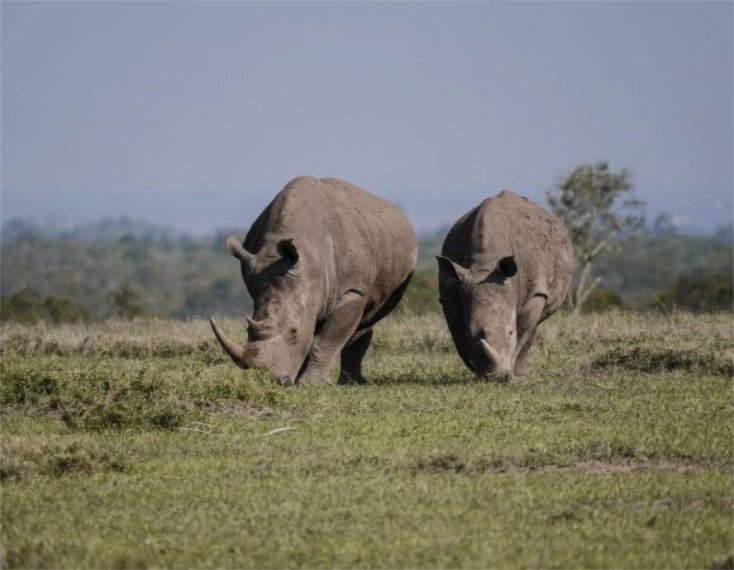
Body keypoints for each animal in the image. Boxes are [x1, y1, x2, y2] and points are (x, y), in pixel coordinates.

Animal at [210, 176, 417, 386]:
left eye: (293, 331)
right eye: (247, 331)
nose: (276, 380)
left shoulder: (352, 290)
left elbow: (326, 339)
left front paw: (312, 384)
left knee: (366, 319)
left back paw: (352, 382)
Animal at [437, 190, 573, 381]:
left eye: (510, 332)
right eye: (470, 333)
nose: (495, 378)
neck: (485, 264)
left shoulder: (535, 292)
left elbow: (522, 331)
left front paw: (511, 374)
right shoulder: (451, 294)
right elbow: (458, 333)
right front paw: (474, 368)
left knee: (534, 325)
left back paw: (520, 373)